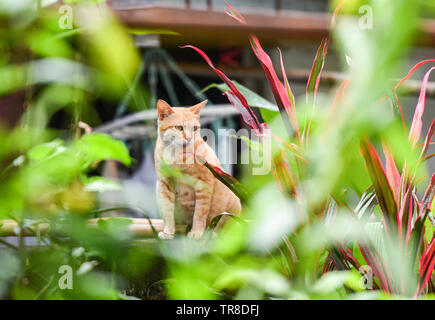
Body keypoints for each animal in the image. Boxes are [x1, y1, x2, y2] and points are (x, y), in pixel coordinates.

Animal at [153, 99, 242, 239]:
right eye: (179, 128)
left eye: (194, 128)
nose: (189, 138)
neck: (177, 156)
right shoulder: (164, 184)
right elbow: (168, 211)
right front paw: (168, 232)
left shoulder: (204, 184)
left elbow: (199, 213)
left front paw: (197, 233)